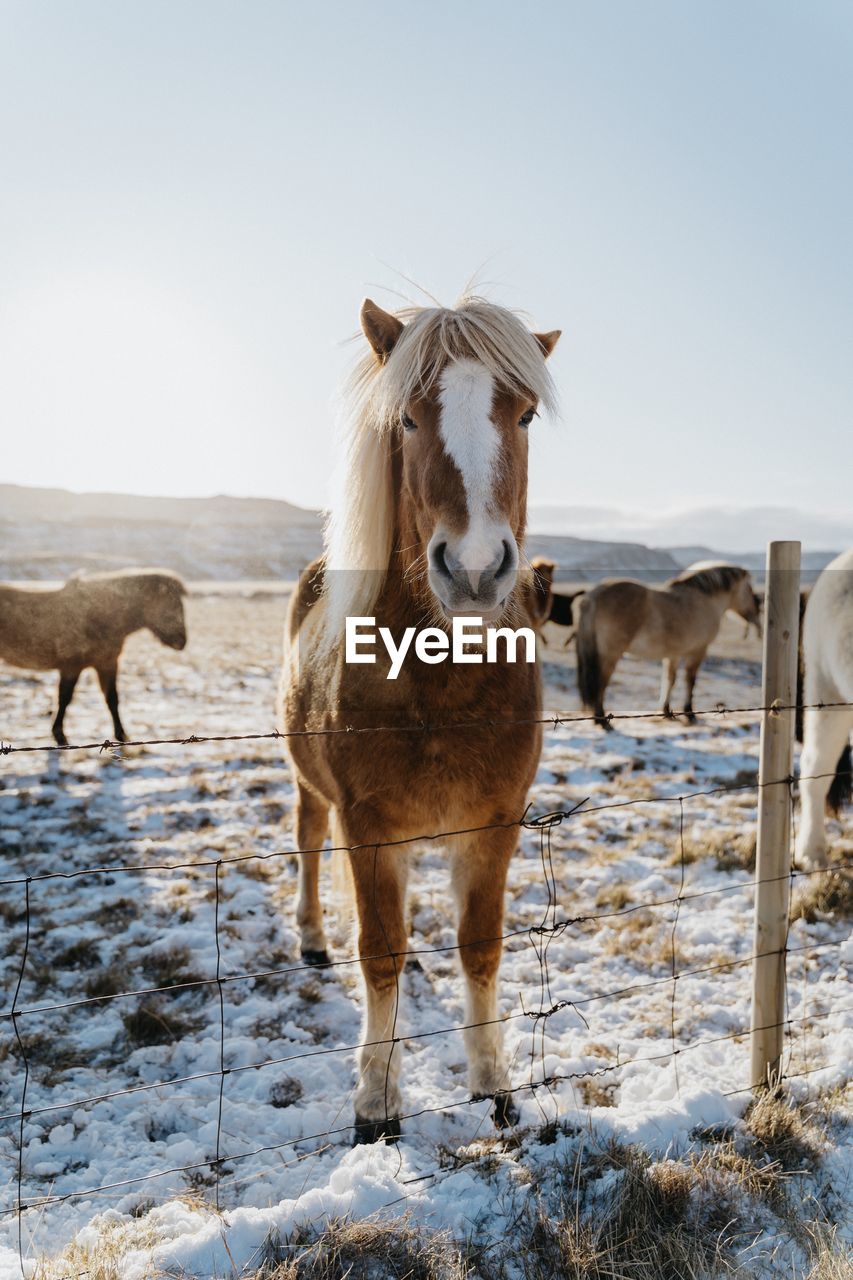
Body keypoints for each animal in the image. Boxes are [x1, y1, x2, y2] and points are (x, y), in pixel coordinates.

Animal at [0, 568, 186, 747]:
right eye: (174, 603)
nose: (182, 641)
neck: (99, 616)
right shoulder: (71, 667)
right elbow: (64, 699)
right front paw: (60, 736)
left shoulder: (107, 663)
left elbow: (112, 699)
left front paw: (122, 735)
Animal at [279, 294, 558, 1146]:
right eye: (405, 418)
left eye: (525, 415)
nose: (473, 569)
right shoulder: (368, 827)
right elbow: (377, 952)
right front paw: (375, 1100)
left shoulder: (495, 823)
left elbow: (480, 948)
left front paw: (493, 1084)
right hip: (313, 791)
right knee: (308, 843)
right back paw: (311, 938)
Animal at [573, 563, 753, 732]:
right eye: (750, 589)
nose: (756, 609)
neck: (704, 600)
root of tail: (593, 595)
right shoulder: (698, 651)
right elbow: (690, 681)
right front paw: (689, 713)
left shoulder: (673, 654)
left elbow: (669, 680)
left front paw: (667, 712)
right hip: (610, 655)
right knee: (600, 684)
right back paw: (603, 721)